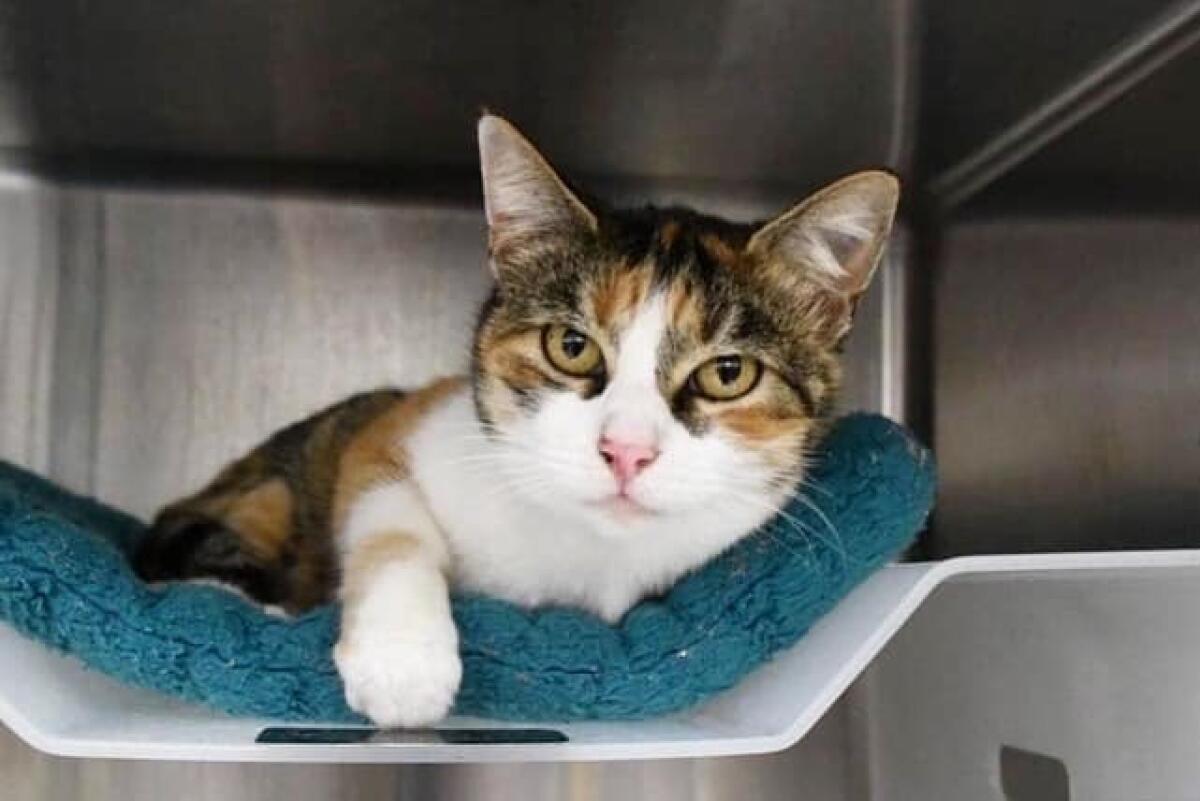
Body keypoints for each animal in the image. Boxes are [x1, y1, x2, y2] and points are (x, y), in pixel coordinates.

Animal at [131, 113, 902, 724]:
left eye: (728, 373)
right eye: (570, 346)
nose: (625, 450)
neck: (579, 548)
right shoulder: (395, 425)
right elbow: (389, 512)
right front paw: (402, 658)